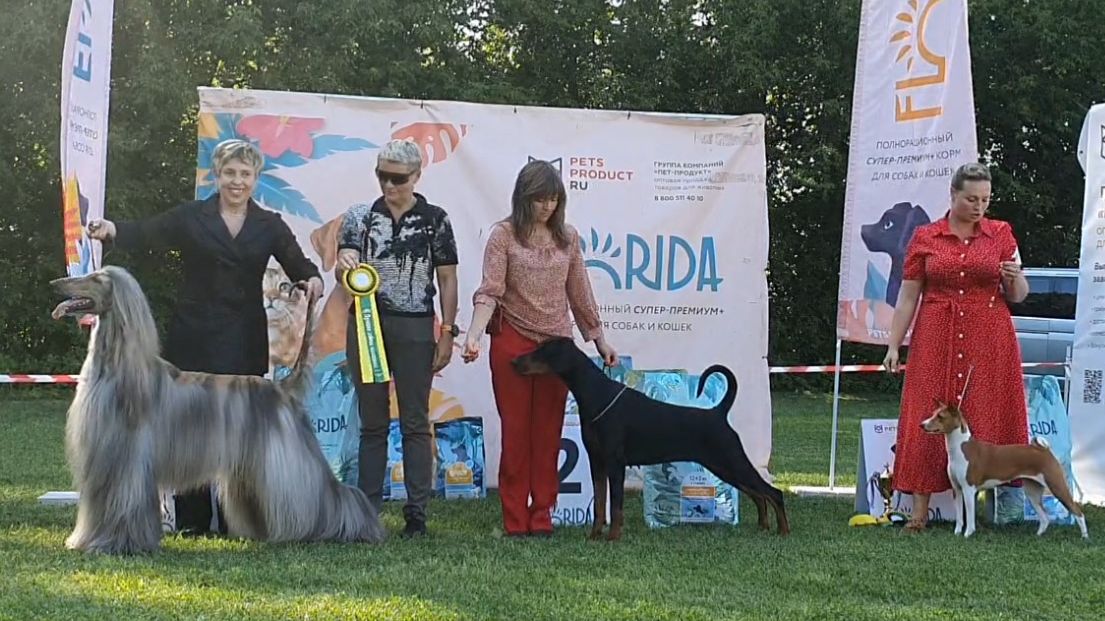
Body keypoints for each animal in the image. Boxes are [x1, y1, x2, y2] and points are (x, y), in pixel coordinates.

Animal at [51, 266, 385, 554]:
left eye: (96, 278)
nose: (56, 283)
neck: (117, 368)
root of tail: (282, 388)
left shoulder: (127, 463)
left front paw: (116, 545)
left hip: (286, 461)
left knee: (325, 492)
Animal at [512, 338, 789, 541]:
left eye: (541, 351)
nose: (514, 361)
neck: (595, 394)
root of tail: (718, 412)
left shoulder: (615, 463)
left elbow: (615, 504)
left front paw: (613, 537)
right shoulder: (597, 462)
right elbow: (600, 503)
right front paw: (594, 535)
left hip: (730, 459)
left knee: (772, 492)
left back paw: (783, 531)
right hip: (724, 466)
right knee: (757, 494)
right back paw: (763, 527)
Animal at [920, 402, 1088, 539]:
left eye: (940, 416)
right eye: (934, 414)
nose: (922, 424)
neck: (959, 448)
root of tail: (1044, 450)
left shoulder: (968, 489)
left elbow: (969, 516)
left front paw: (968, 534)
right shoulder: (957, 489)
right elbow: (960, 517)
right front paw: (957, 533)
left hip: (1056, 485)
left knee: (1077, 511)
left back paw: (1084, 537)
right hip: (1032, 491)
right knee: (1045, 517)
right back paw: (1038, 535)